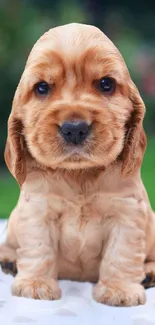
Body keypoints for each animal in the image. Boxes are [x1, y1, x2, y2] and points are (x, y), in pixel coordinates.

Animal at [0, 23, 155, 306]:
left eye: (106, 84)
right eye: (42, 88)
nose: (74, 129)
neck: (79, 174)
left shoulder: (127, 212)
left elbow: (121, 253)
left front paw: (119, 290)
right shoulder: (38, 210)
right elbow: (38, 249)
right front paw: (35, 285)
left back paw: (149, 273)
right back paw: (9, 259)